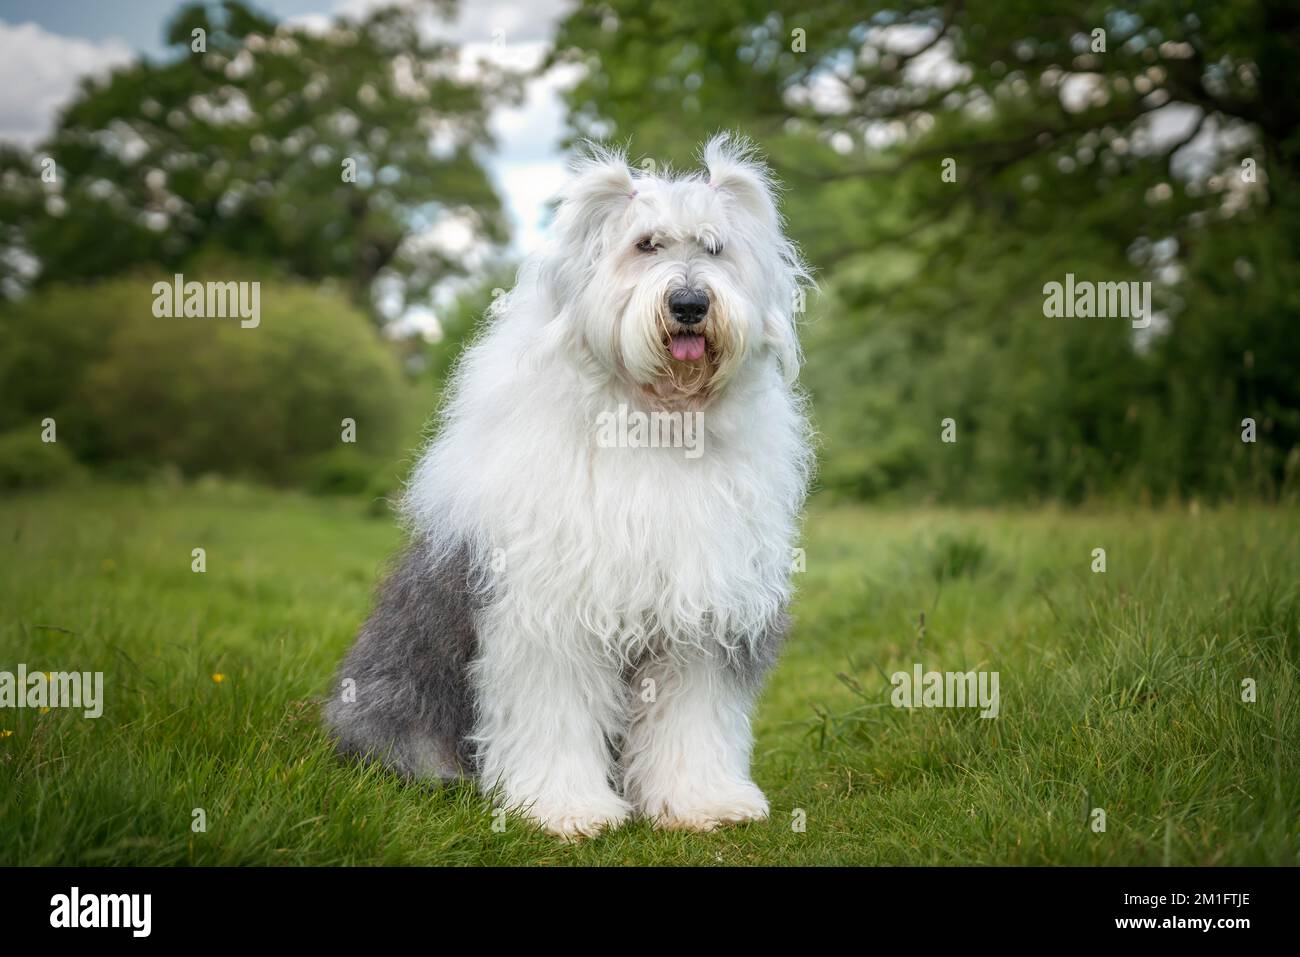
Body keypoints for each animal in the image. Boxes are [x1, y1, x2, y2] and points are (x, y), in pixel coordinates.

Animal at [325, 134, 811, 837]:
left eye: (715, 248)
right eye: (645, 245)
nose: (690, 304)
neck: (652, 424)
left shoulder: (701, 614)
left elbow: (692, 716)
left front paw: (701, 801)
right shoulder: (549, 614)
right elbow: (554, 713)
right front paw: (565, 809)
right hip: (396, 692)